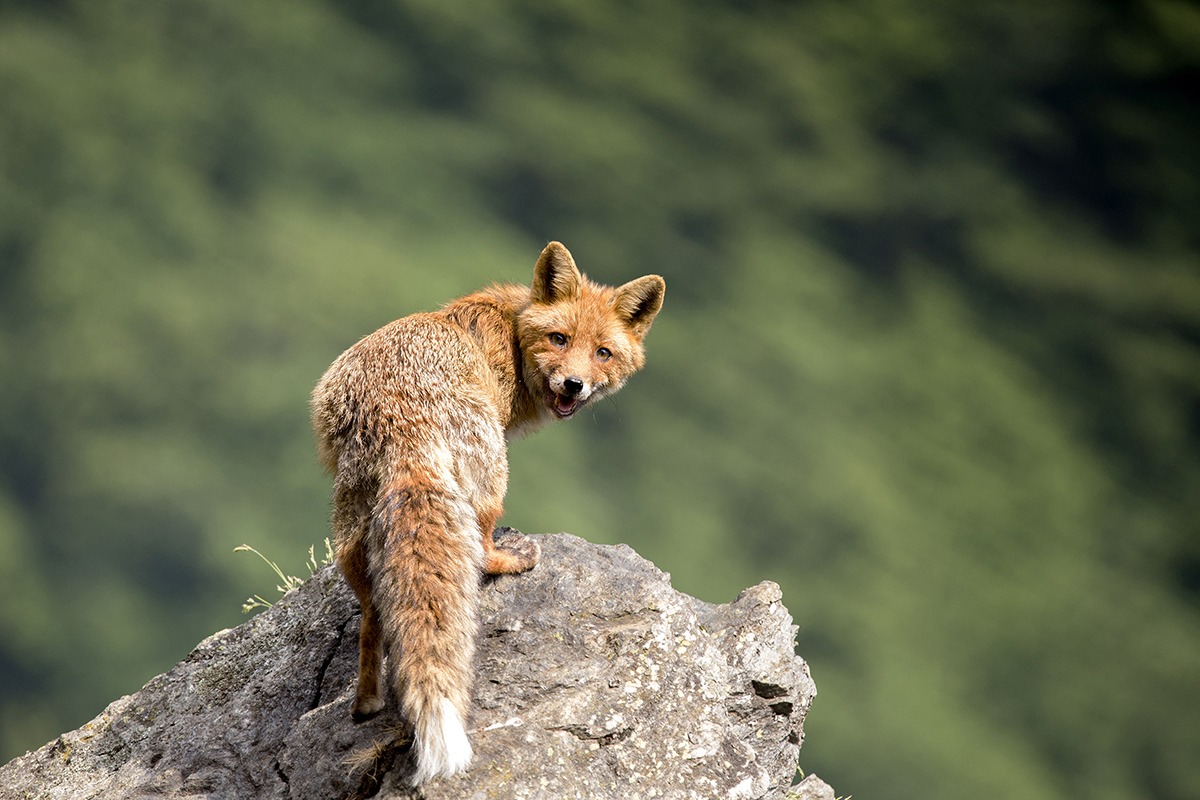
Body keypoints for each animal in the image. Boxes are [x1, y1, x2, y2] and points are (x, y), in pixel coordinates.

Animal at [310, 241, 664, 784]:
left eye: (602, 352)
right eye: (559, 339)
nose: (574, 385)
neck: (512, 340)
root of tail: (400, 418)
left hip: (350, 526)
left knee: (373, 614)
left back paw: (367, 703)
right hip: (494, 469)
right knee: (478, 549)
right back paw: (511, 558)